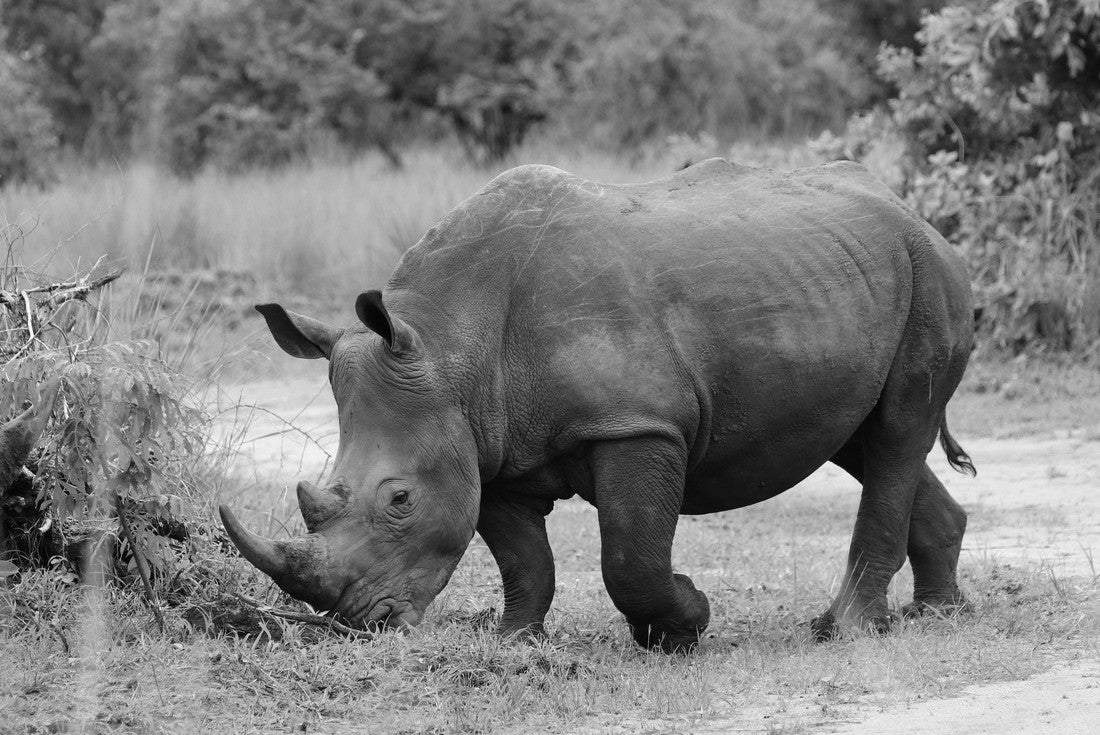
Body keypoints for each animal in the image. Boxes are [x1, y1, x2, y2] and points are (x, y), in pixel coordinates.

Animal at [220, 159, 974, 651]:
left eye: (400, 499)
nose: (359, 624)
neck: (449, 341)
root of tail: (919, 217)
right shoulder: (488, 443)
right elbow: (522, 556)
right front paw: (515, 642)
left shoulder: (636, 424)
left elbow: (630, 555)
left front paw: (683, 625)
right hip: (843, 279)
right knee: (863, 441)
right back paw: (936, 615)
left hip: (930, 278)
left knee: (897, 431)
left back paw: (844, 630)